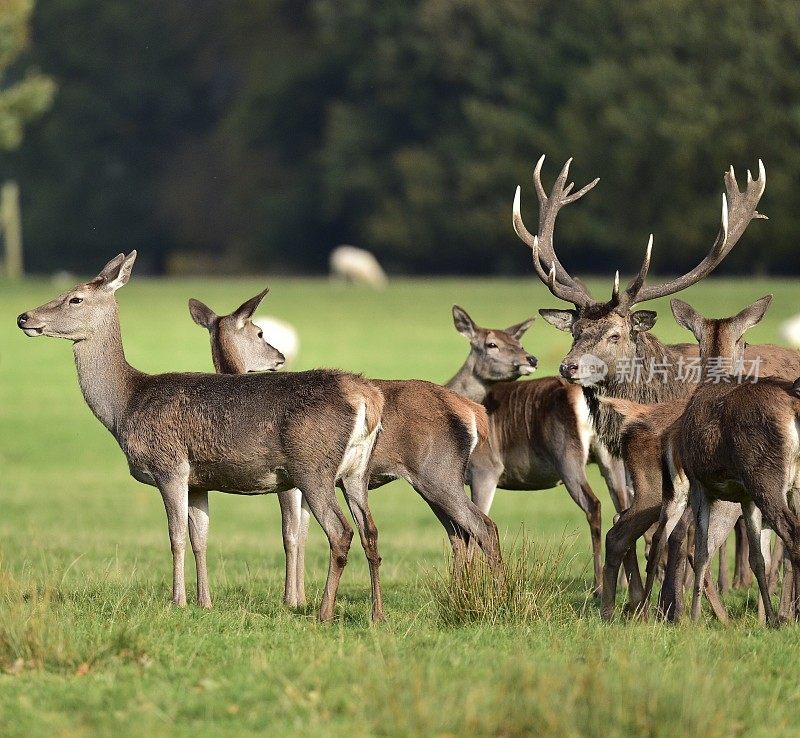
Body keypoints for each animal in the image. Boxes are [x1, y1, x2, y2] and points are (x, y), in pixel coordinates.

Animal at [15, 250, 388, 620]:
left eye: (75, 298)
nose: (23, 317)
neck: (125, 406)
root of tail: (367, 396)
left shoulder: (169, 466)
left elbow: (175, 535)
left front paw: (177, 601)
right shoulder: (198, 481)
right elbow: (201, 537)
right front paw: (204, 601)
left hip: (313, 466)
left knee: (341, 531)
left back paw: (324, 612)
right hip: (355, 471)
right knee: (370, 530)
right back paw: (376, 614)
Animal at [190, 290, 504, 608]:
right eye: (260, 332)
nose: (280, 357)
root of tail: (473, 411)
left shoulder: (292, 481)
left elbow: (291, 535)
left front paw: (292, 599)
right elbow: (302, 534)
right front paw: (300, 597)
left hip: (438, 472)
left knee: (481, 527)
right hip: (430, 482)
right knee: (459, 534)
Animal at [446, 304, 628, 592]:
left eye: (518, 342)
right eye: (491, 344)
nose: (530, 359)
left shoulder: (487, 469)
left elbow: (476, 526)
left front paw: (469, 584)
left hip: (566, 454)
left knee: (594, 505)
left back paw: (599, 585)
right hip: (610, 456)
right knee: (624, 508)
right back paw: (621, 583)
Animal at [512, 158, 800, 620]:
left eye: (615, 334)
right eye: (575, 330)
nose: (568, 366)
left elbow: (674, 539)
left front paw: (667, 608)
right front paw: (645, 605)